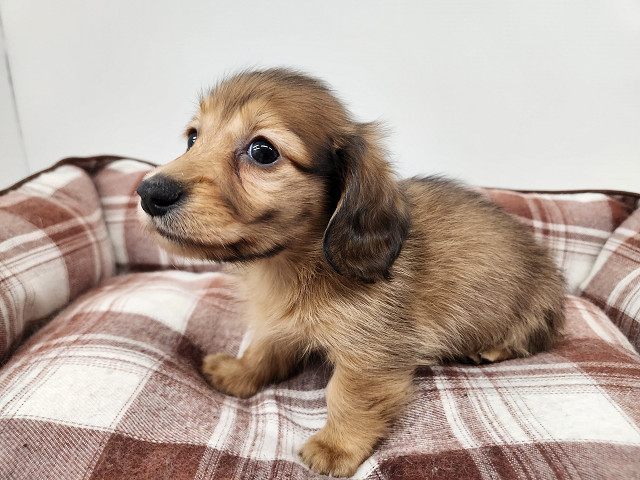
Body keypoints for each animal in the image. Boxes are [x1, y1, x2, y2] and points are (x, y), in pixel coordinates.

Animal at [136, 68, 565, 477]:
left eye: (262, 151)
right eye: (193, 138)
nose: (149, 193)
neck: (297, 263)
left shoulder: (371, 354)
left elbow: (346, 397)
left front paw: (335, 446)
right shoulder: (279, 325)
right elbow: (264, 349)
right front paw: (239, 372)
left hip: (531, 314)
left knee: (530, 337)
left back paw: (489, 349)